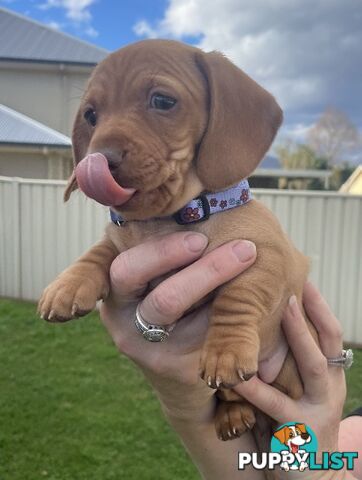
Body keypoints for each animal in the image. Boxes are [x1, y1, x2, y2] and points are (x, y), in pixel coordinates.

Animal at [39, 39, 314, 440]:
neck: (167, 220)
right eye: (91, 115)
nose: (98, 160)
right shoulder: (119, 243)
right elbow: (102, 251)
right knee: (234, 401)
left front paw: (225, 351)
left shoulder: (268, 255)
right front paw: (68, 285)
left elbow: (238, 295)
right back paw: (233, 416)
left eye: (163, 101)